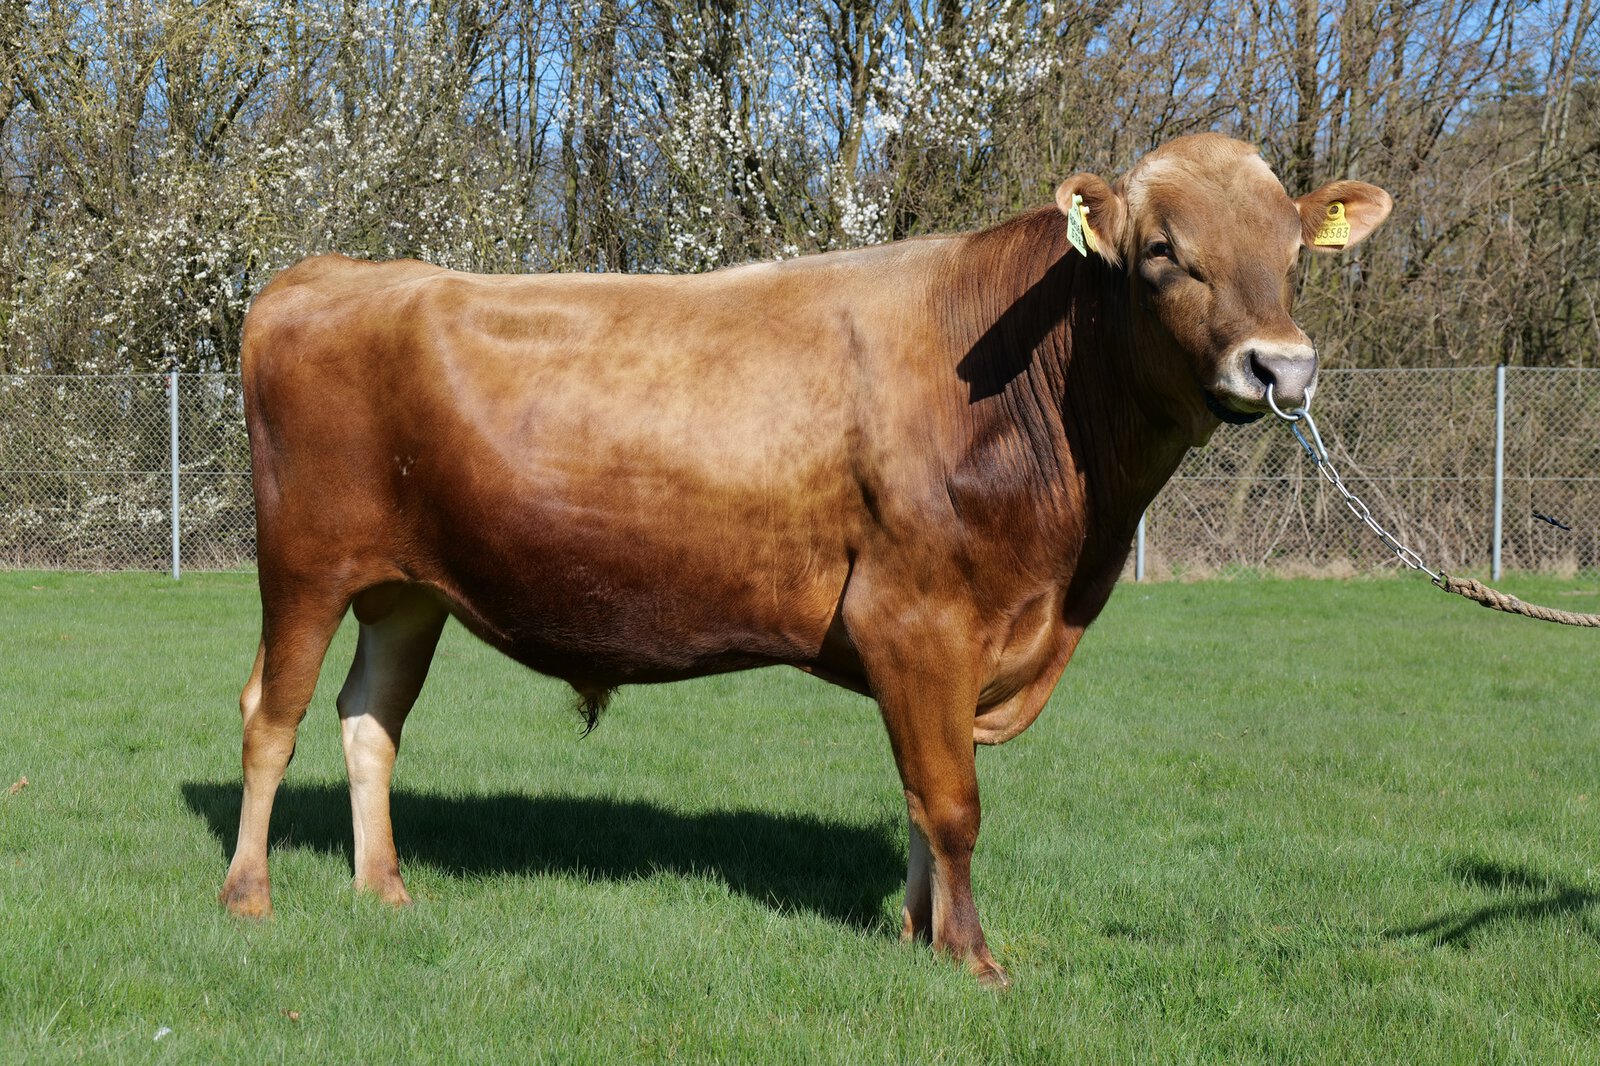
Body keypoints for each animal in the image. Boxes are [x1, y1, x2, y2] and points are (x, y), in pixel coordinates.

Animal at [220, 133, 1391, 985]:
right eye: (1161, 255)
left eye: (1295, 254)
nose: (1281, 369)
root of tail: (325, 274)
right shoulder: (915, 617)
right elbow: (953, 802)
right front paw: (973, 959)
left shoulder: (951, 643)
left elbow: (920, 794)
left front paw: (918, 936)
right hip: (304, 564)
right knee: (272, 717)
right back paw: (248, 896)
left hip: (405, 591)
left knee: (368, 721)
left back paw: (384, 889)